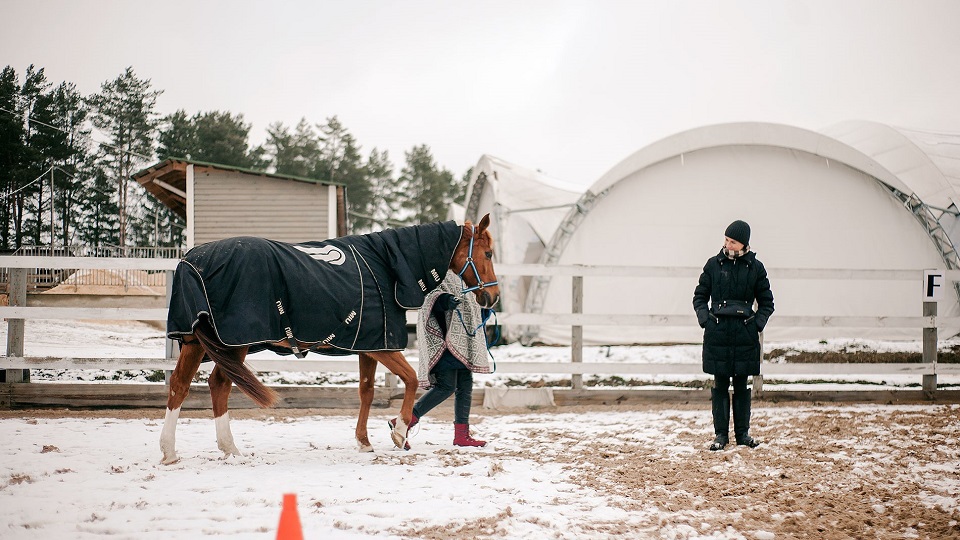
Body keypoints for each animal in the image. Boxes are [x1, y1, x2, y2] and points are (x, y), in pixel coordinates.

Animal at [159, 214, 499, 464]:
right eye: (488, 253)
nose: (493, 296)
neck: (385, 266)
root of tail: (190, 261)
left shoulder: (369, 346)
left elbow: (366, 391)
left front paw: (364, 441)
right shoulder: (384, 347)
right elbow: (412, 379)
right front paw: (399, 431)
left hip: (196, 344)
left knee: (181, 385)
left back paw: (177, 451)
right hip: (234, 344)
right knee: (217, 385)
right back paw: (220, 448)